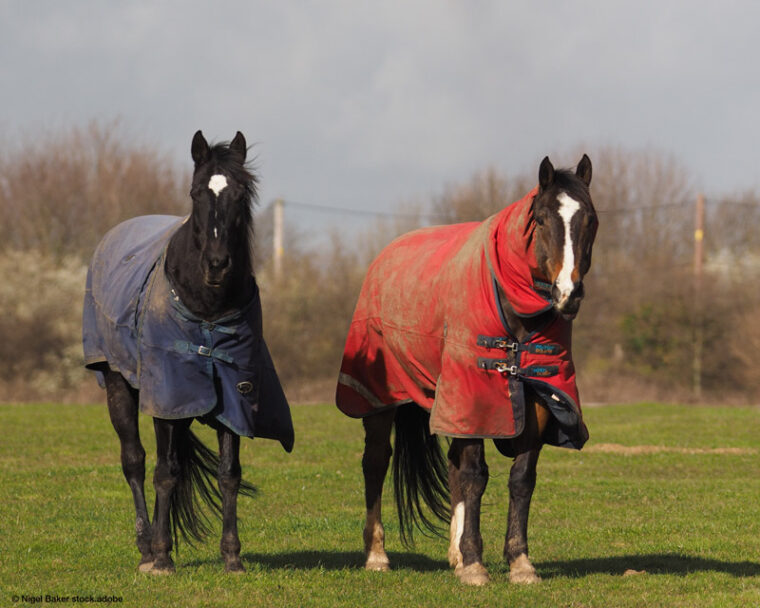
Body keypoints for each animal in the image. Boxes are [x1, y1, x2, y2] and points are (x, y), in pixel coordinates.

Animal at [84, 131, 292, 572]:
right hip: (119, 384)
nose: (217, 264)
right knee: (135, 461)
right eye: (197, 192)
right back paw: (146, 547)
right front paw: (163, 556)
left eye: (241, 194)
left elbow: (229, 473)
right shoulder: (169, 395)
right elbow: (164, 471)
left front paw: (232, 556)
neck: (207, 309)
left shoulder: (233, 395)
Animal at [338, 156, 600, 584]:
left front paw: (518, 562)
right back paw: (377, 554)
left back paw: (455, 554)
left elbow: (520, 479)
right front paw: (476, 562)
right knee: (376, 462)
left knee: (453, 465)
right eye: (543, 218)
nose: (569, 293)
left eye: (590, 219)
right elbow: (476, 476)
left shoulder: (534, 404)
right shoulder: (476, 395)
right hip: (381, 399)